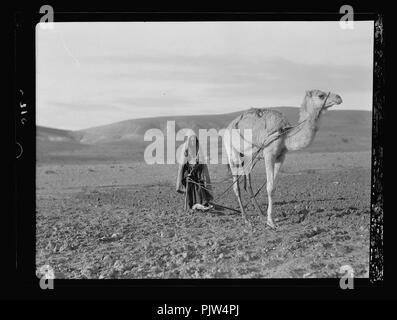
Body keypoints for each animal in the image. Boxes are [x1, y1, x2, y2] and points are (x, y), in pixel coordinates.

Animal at [223, 90, 340, 229]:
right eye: (321, 95)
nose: (339, 98)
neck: (285, 135)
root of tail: (227, 129)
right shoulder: (269, 154)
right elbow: (269, 187)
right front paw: (271, 222)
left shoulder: (280, 157)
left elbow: (273, 187)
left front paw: (268, 218)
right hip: (232, 153)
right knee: (236, 187)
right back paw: (246, 219)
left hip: (248, 157)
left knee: (248, 184)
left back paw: (260, 214)